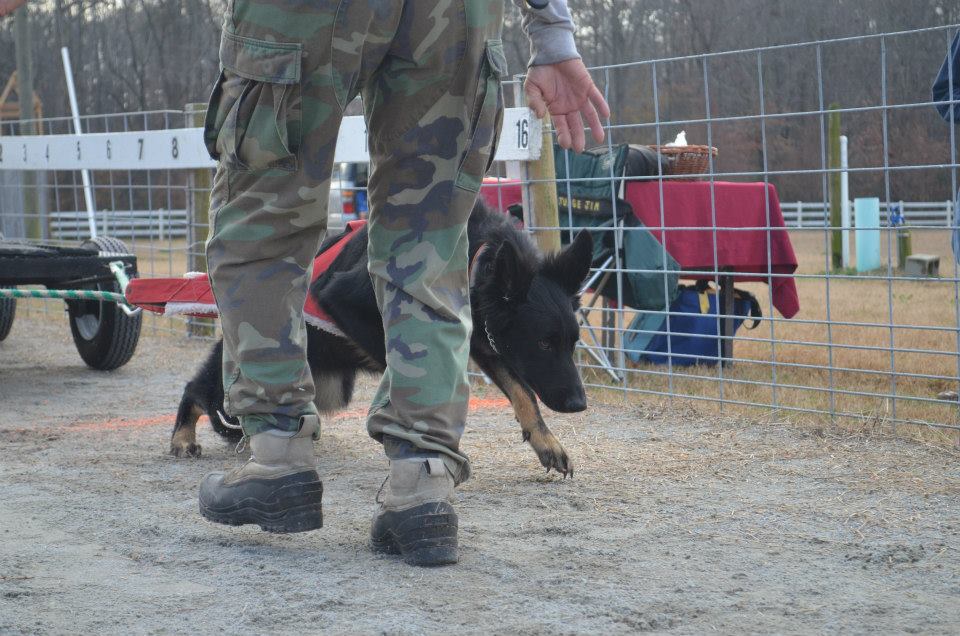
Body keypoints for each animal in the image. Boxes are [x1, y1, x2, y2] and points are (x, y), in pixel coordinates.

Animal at [172, 201, 592, 474]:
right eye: (543, 343)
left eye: (572, 343)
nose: (579, 404)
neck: (474, 260)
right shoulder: (342, 298)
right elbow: (398, 361)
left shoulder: (484, 341)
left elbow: (523, 393)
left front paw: (546, 442)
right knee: (201, 389)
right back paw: (183, 437)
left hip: (327, 388)